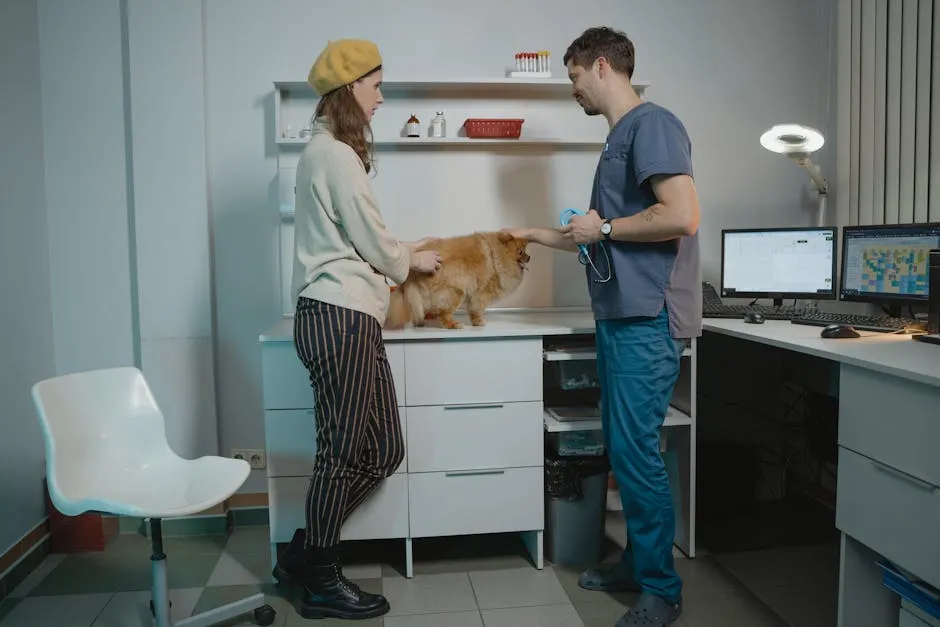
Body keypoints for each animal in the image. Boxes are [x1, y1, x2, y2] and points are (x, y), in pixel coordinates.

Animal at [382, 231, 528, 328]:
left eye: (525, 250)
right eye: (520, 252)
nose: (530, 257)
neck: (497, 257)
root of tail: (411, 272)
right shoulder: (482, 293)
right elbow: (477, 308)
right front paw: (479, 322)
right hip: (456, 292)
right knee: (443, 314)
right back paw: (453, 324)